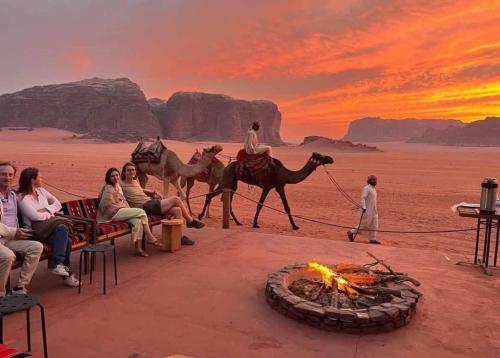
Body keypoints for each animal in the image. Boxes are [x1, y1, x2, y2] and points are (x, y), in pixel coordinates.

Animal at [201, 151, 334, 229]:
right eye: (321, 156)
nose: (331, 158)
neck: (284, 173)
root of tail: (226, 167)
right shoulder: (270, 186)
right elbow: (261, 205)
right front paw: (255, 223)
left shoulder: (278, 186)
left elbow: (286, 207)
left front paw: (295, 225)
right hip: (227, 179)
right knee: (210, 195)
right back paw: (200, 216)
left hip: (232, 183)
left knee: (226, 199)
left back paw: (238, 222)